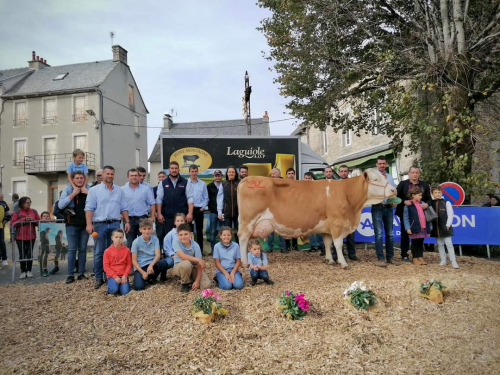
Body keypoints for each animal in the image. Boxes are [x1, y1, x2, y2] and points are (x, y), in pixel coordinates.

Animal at [236, 169, 396, 268]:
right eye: (376, 179)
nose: (394, 189)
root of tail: (248, 179)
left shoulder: (327, 226)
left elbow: (327, 243)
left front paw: (329, 260)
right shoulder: (337, 222)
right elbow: (338, 244)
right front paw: (343, 263)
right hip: (248, 220)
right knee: (243, 239)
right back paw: (245, 263)